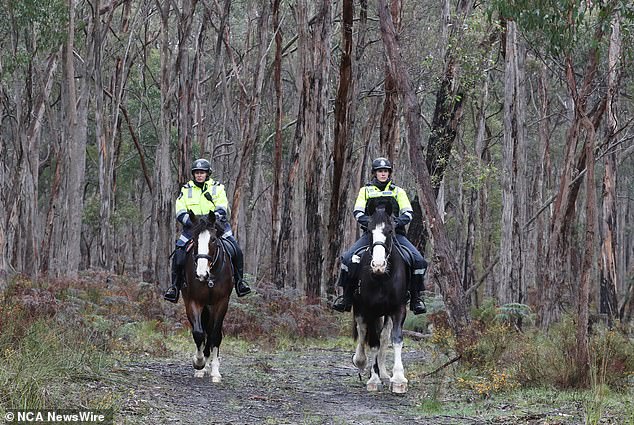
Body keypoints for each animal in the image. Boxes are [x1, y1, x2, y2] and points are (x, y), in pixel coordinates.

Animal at [180, 210, 232, 380]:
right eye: (194, 240)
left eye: (213, 239)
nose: (201, 274)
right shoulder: (193, 301)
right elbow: (198, 333)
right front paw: (199, 363)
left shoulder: (221, 302)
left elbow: (215, 334)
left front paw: (215, 371)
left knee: (213, 333)